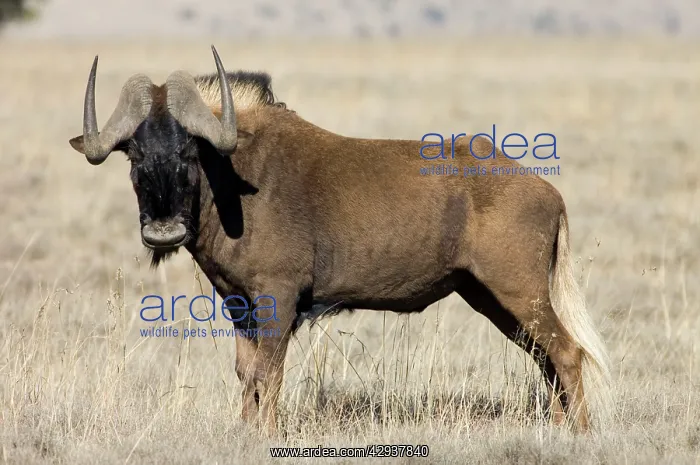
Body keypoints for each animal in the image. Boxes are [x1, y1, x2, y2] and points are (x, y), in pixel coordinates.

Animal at [68, 46, 612, 435]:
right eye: (134, 153)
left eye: (188, 150)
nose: (163, 231)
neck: (231, 179)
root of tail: (546, 190)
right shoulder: (239, 305)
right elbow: (246, 374)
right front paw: (245, 433)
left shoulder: (278, 300)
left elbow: (268, 374)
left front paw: (268, 436)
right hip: (491, 298)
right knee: (546, 359)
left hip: (518, 293)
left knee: (567, 353)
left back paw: (579, 435)